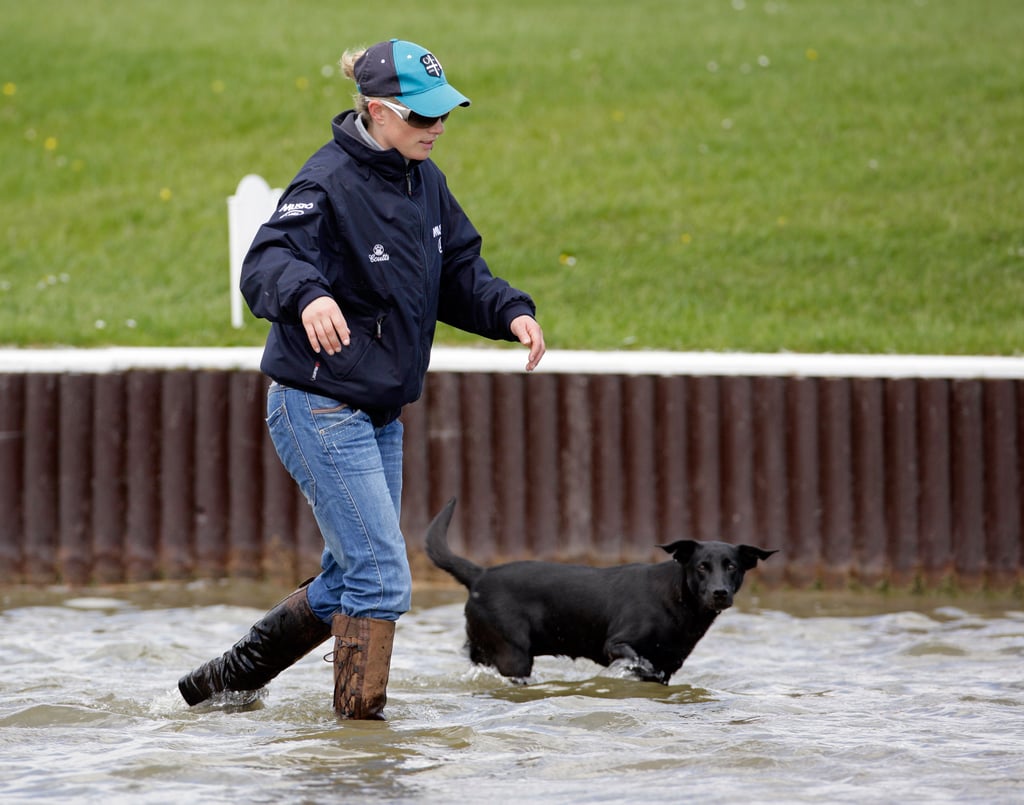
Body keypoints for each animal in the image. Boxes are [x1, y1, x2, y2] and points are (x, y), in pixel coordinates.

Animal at [425, 497, 774, 680]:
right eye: (702, 566)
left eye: (732, 567)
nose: (720, 593)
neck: (677, 602)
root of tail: (480, 575)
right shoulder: (617, 644)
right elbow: (636, 658)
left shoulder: (669, 667)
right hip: (514, 655)